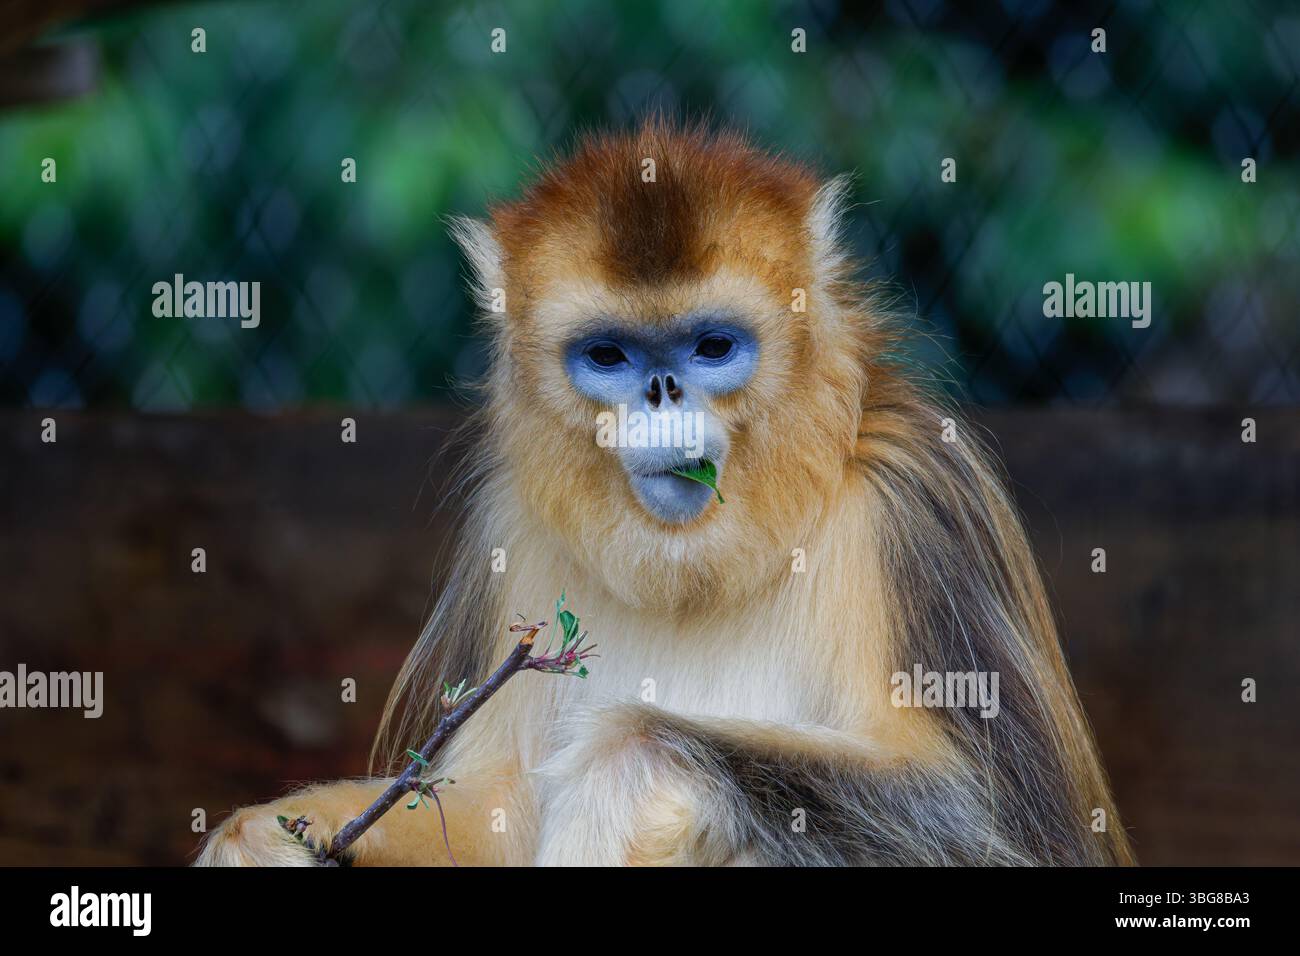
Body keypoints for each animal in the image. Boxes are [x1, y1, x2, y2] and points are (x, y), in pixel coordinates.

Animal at [196, 119, 1134, 867]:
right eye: (609, 356)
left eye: (711, 346)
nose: (661, 392)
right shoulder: (516, 532)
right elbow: (491, 810)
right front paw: (257, 840)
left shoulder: (910, 510)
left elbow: (1000, 830)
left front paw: (631, 763)